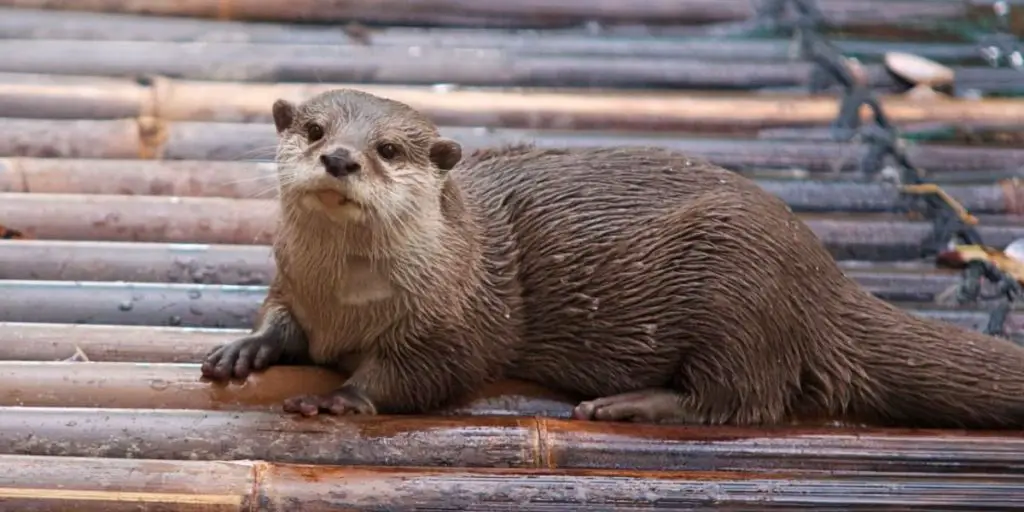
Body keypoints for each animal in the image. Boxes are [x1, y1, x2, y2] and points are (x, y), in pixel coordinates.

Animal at [197, 88, 1024, 428]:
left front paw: (342, 397)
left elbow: (428, 375)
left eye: (389, 150)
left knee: (746, 398)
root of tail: (823, 276)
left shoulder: (459, 320)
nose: (339, 158)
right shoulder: (293, 283)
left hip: (738, 286)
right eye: (313, 128)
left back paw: (631, 403)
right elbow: (280, 320)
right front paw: (246, 348)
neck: (348, 301)